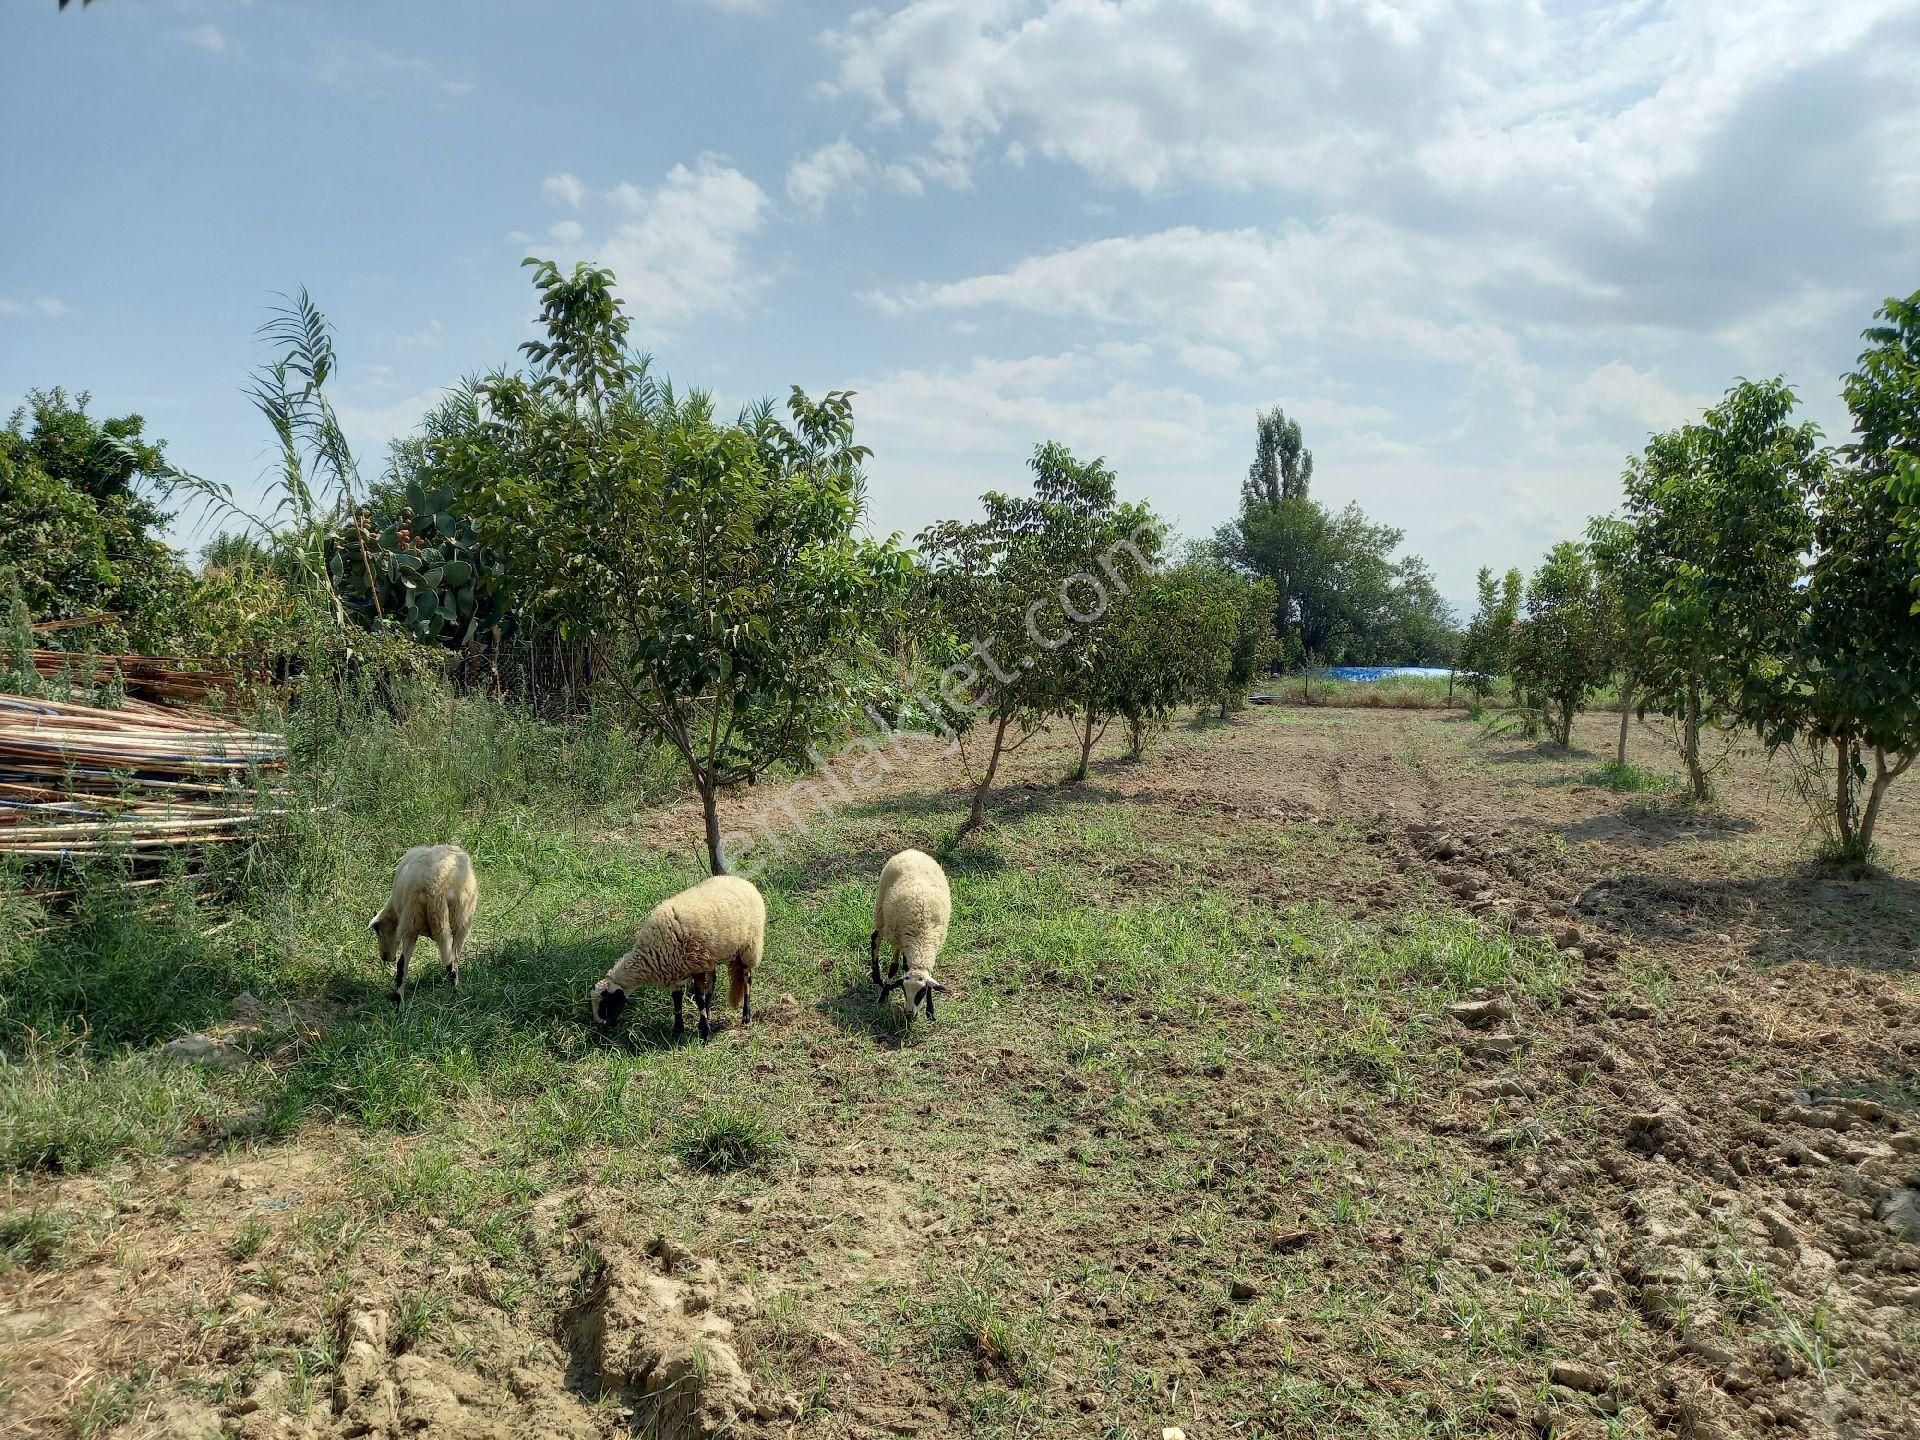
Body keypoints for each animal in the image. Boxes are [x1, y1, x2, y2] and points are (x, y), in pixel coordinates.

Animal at [366, 844, 476, 1006]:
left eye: (377, 929)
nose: (384, 957)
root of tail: (435, 887)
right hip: (456, 921)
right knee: (451, 961)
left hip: (415, 920)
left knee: (405, 964)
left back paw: (400, 1001)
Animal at [587, 875, 760, 1044]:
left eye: (605, 1004)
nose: (602, 1028)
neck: (652, 953)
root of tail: (740, 879)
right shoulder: (676, 971)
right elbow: (677, 1002)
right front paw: (678, 1031)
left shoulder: (696, 966)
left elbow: (699, 999)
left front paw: (705, 1035)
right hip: (712, 956)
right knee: (712, 984)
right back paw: (709, 1016)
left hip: (749, 946)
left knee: (747, 979)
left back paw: (746, 1016)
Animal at [871, 852, 952, 1021]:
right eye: (903, 990)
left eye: (921, 993)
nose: (909, 1015)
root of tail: (911, 851)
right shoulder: (897, 940)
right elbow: (893, 969)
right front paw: (883, 995)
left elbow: (929, 979)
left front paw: (930, 1011)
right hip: (882, 912)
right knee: (875, 938)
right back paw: (876, 977)